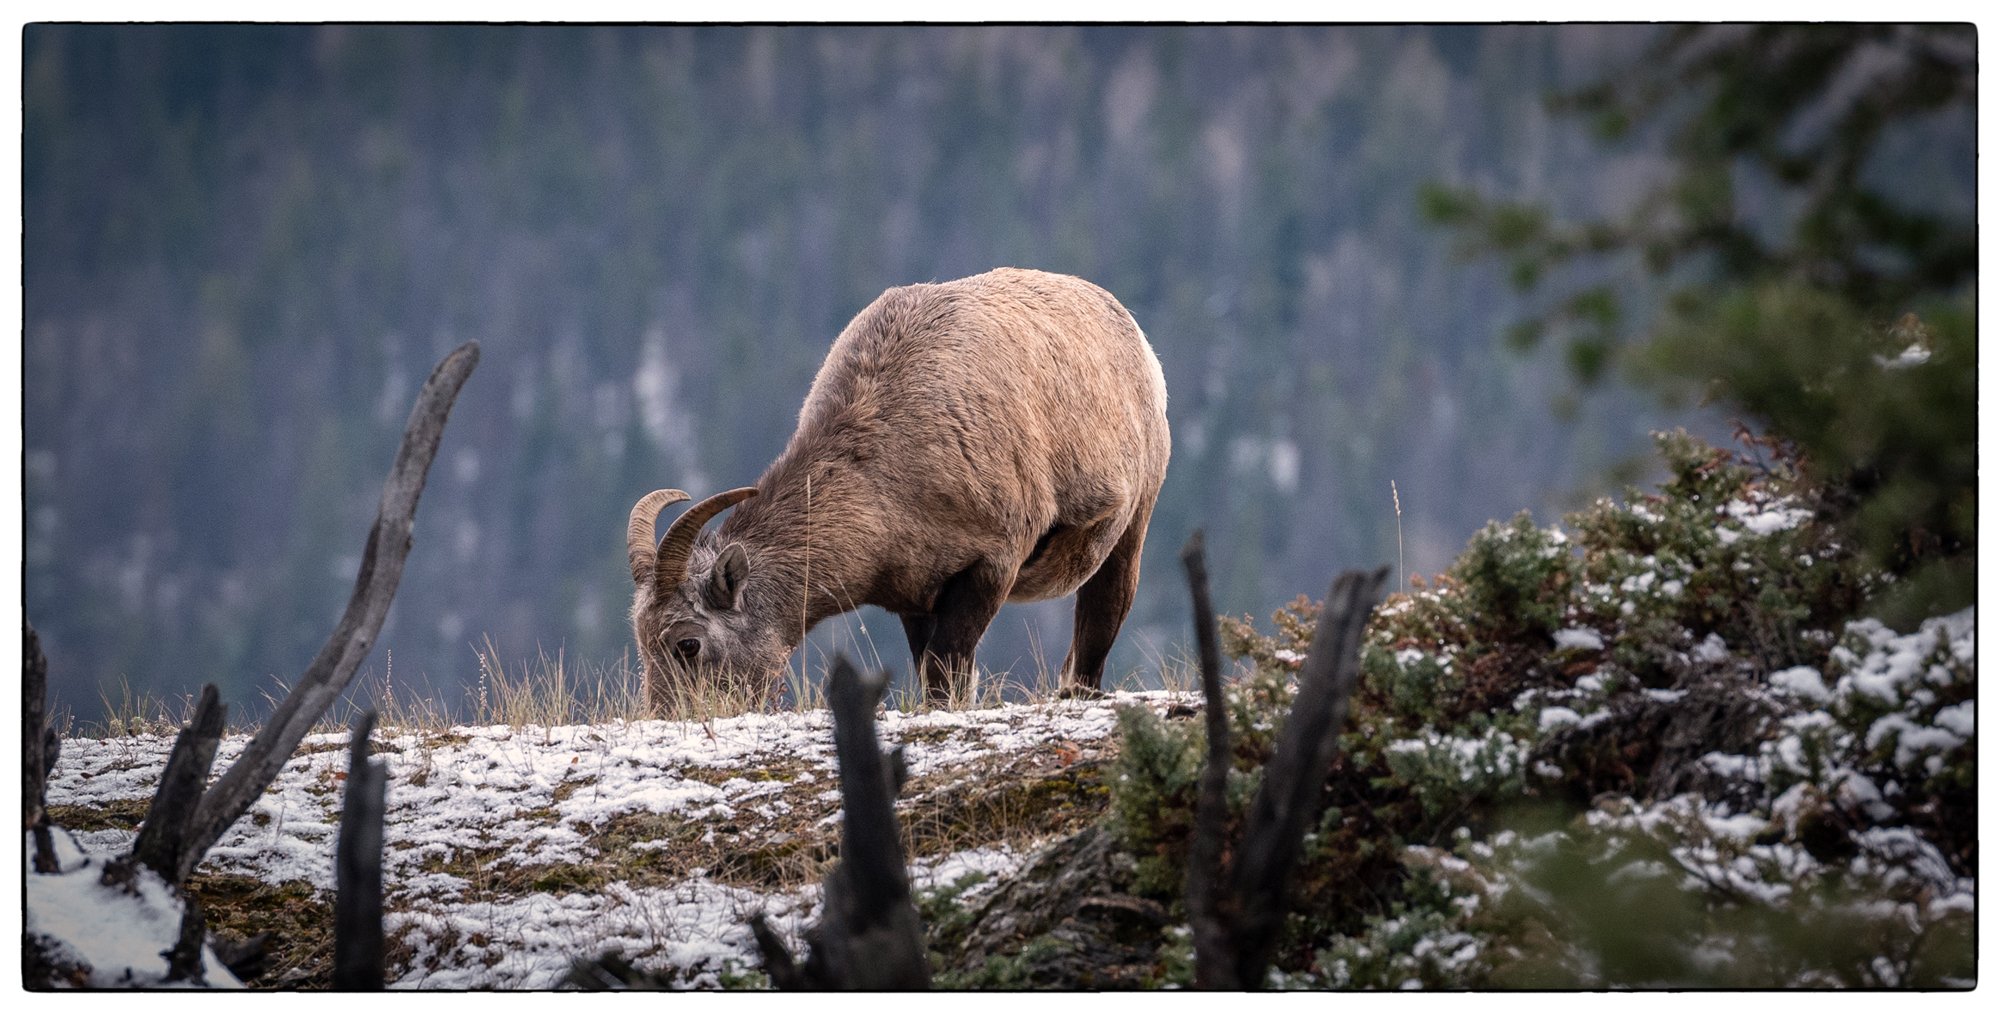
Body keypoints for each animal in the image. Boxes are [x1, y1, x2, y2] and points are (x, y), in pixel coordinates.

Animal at [626, 267, 1170, 707]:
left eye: (687, 644)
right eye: (642, 641)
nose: (671, 717)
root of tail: (1134, 333)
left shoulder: (992, 564)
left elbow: (946, 672)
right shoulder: (914, 592)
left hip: (1132, 524)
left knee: (1101, 620)